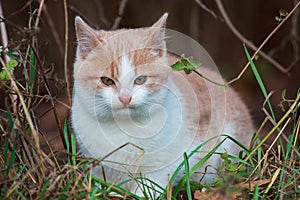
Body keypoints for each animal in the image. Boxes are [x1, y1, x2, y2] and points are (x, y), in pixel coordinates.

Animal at [71, 13, 254, 195]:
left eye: (140, 80)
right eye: (107, 81)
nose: (125, 98)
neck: (124, 127)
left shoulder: (168, 163)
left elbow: (149, 186)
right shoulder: (98, 165)